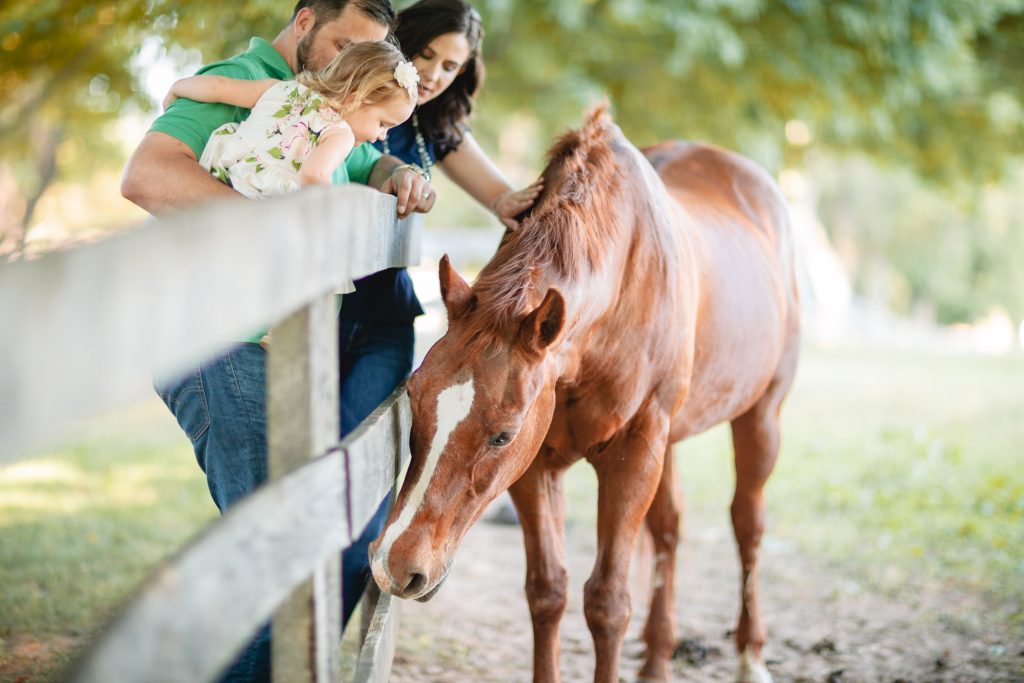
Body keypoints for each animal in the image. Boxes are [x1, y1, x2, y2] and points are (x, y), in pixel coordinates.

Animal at [368, 107, 798, 683]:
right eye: (414, 396)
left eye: (502, 435)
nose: (394, 565)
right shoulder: (538, 466)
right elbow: (548, 591)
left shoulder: (632, 454)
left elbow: (608, 602)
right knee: (669, 529)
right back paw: (657, 656)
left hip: (760, 417)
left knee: (747, 524)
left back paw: (751, 655)